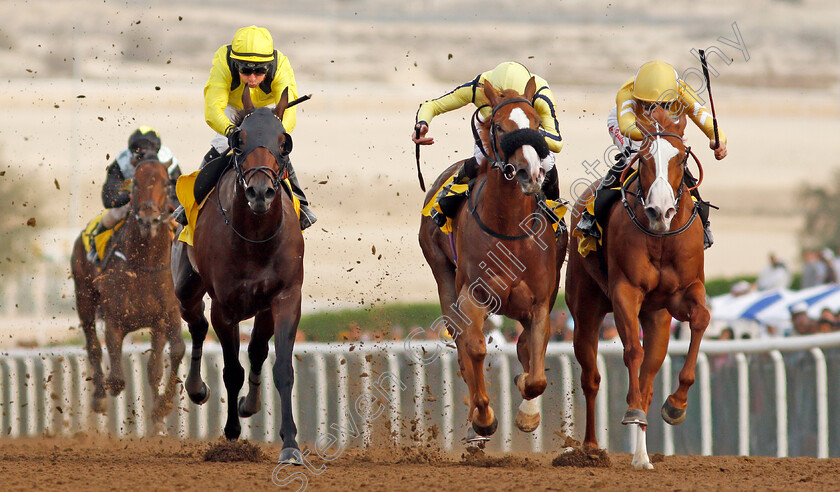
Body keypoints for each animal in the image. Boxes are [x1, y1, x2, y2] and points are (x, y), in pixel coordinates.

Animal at [71, 154, 185, 430]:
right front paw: (108, 389)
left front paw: (162, 408)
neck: (145, 263)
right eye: (135, 184)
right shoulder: (114, 318)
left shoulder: (168, 314)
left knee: (154, 367)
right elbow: (116, 375)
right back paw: (99, 396)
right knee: (93, 346)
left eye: (166, 183)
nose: (148, 219)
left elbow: (175, 352)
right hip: (84, 299)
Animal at [169, 87, 304, 466]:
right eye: (239, 140)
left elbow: (281, 368)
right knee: (198, 325)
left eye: (283, 143)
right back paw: (197, 388)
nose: (260, 192)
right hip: (186, 286)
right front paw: (230, 433)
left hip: (262, 308)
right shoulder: (225, 307)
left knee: (256, 350)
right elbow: (231, 371)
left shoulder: (286, 297)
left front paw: (290, 445)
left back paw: (249, 404)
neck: (255, 238)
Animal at [416, 80, 568, 442]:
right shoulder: (473, 294)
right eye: (499, 127)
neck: (509, 228)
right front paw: (483, 416)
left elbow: (535, 365)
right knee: (460, 341)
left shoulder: (539, 303)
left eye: (537, 125)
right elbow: (473, 347)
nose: (530, 172)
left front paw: (527, 413)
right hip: (443, 273)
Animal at [564, 106, 708, 468]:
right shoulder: (625, 292)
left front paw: (676, 405)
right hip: (585, 309)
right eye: (642, 159)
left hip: (656, 319)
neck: (660, 235)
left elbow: (700, 319)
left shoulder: (682, 294)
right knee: (591, 377)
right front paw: (630, 410)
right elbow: (632, 350)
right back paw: (591, 448)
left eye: (681, 157)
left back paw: (642, 457)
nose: (660, 210)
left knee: (649, 378)